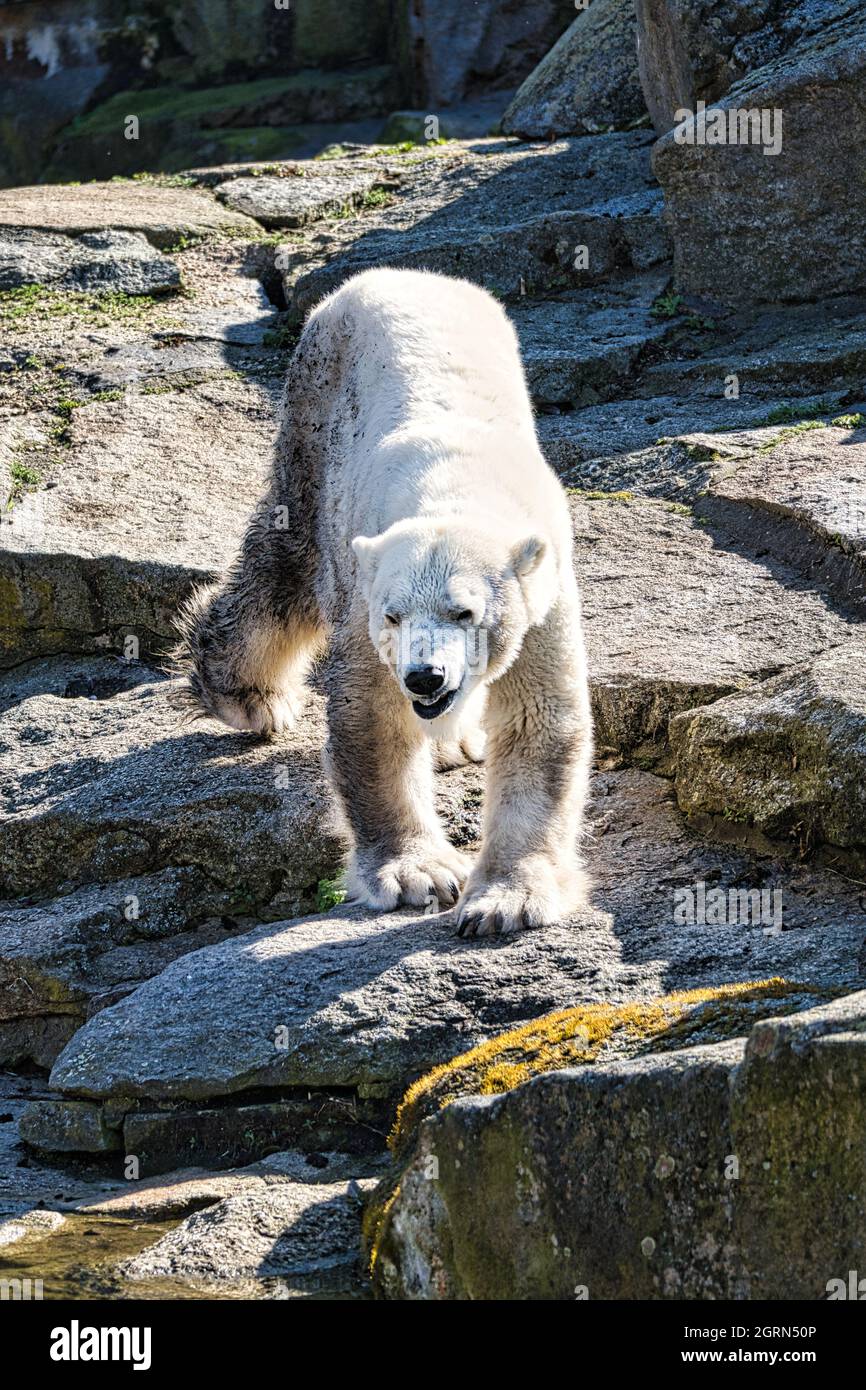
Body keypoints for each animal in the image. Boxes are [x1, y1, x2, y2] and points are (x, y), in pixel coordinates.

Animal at [176, 267, 593, 935]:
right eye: (395, 616)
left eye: (465, 613)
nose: (425, 676)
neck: (459, 488)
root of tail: (397, 274)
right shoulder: (366, 596)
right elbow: (372, 718)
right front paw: (416, 874)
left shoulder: (543, 597)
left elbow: (539, 721)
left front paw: (505, 899)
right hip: (314, 429)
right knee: (283, 573)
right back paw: (251, 696)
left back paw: (453, 739)